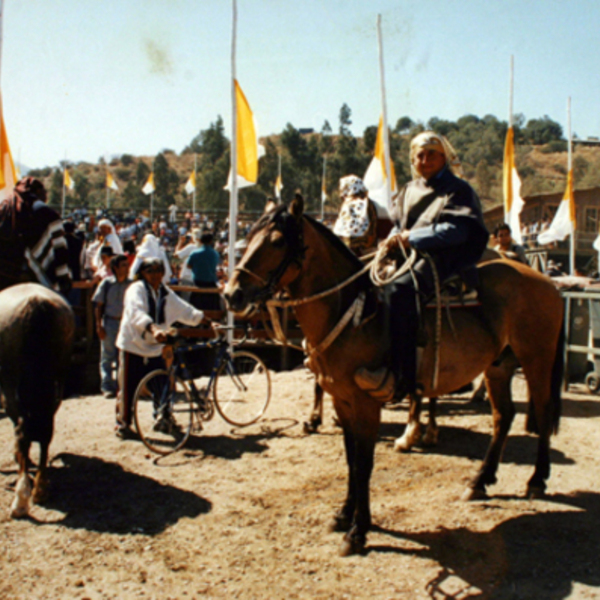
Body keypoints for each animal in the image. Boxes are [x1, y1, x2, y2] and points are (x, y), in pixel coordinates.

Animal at [224, 198, 564, 556]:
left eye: (277, 241)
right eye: (249, 236)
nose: (232, 294)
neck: (355, 313)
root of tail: (546, 282)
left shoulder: (365, 404)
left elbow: (364, 464)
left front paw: (358, 531)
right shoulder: (342, 400)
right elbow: (351, 460)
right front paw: (344, 515)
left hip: (537, 359)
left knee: (542, 412)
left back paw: (536, 480)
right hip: (498, 367)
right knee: (503, 417)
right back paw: (479, 481)